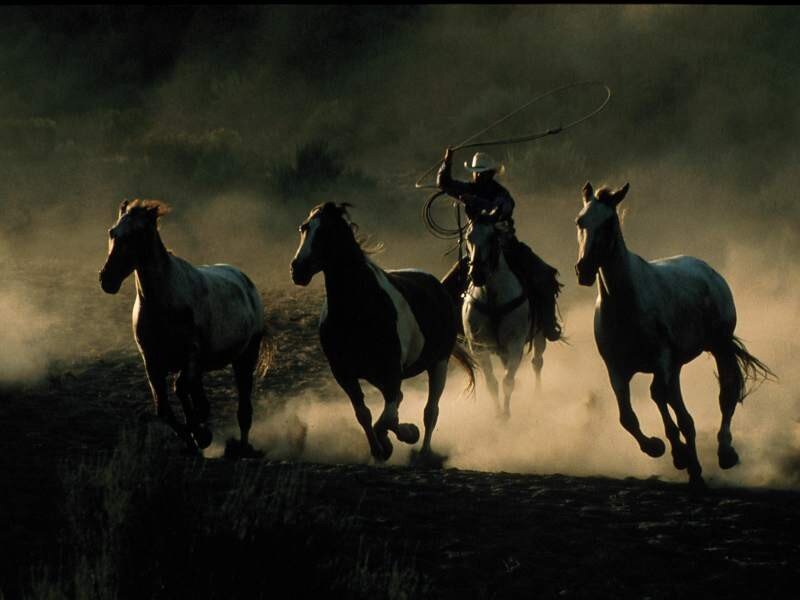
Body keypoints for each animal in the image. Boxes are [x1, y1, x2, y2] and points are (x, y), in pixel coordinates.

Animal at [99, 199, 268, 457]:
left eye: (137, 234)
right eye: (112, 232)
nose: (107, 279)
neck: (163, 303)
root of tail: (245, 281)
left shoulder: (190, 355)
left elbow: (181, 390)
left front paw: (201, 435)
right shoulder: (152, 362)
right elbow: (164, 409)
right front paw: (194, 439)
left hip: (245, 359)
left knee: (243, 411)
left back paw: (241, 448)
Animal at [290, 202, 476, 464]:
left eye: (328, 231)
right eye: (304, 228)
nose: (298, 269)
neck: (359, 310)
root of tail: (439, 287)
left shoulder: (391, 372)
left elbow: (386, 418)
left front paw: (403, 436)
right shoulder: (345, 375)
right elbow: (365, 415)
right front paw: (381, 448)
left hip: (439, 364)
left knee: (430, 411)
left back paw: (423, 453)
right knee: (401, 402)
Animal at [462, 212, 547, 419]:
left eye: (492, 238)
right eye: (468, 237)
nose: (477, 274)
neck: (493, 298)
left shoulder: (515, 344)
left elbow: (508, 382)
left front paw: (506, 415)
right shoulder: (479, 348)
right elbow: (492, 384)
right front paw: (499, 416)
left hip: (539, 334)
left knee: (537, 362)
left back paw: (538, 396)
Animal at [575, 182, 774, 489]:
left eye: (608, 223)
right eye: (580, 221)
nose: (583, 270)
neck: (625, 304)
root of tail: (708, 270)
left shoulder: (661, 358)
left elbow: (658, 395)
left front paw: (677, 453)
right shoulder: (616, 369)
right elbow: (627, 416)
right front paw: (659, 448)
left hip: (718, 347)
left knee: (725, 394)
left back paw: (724, 453)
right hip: (677, 364)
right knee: (679, 408)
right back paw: (694, 469)